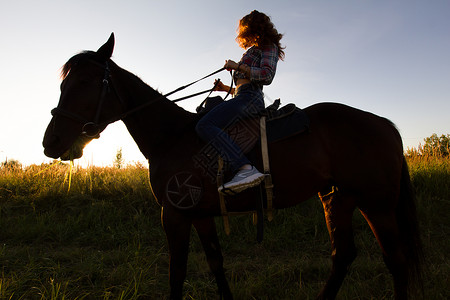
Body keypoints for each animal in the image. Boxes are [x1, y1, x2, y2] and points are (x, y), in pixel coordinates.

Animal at [41, 32, 422, 300]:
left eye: (84, 83)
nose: (51, 142)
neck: (172, 136)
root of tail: (384, 124)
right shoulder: (200, 214)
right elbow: (215, 263)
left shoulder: (174, 214)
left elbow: (176, 271)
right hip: (337, 199)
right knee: (343, 255)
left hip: (376, 204)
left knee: (396, 260)